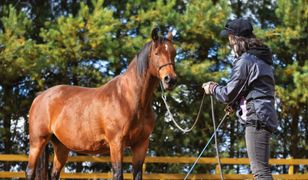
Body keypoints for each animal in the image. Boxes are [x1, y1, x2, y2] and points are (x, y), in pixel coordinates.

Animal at [25, 27, 178, 179]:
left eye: (173, 53)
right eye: (157, 53)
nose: (170, 79)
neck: (129, 99)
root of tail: (40, 97)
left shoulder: (141, 145)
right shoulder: (116, 143)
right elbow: (118, 174)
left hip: (61, 146)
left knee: (54, 173)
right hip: (37, 142)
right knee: (30, 171)